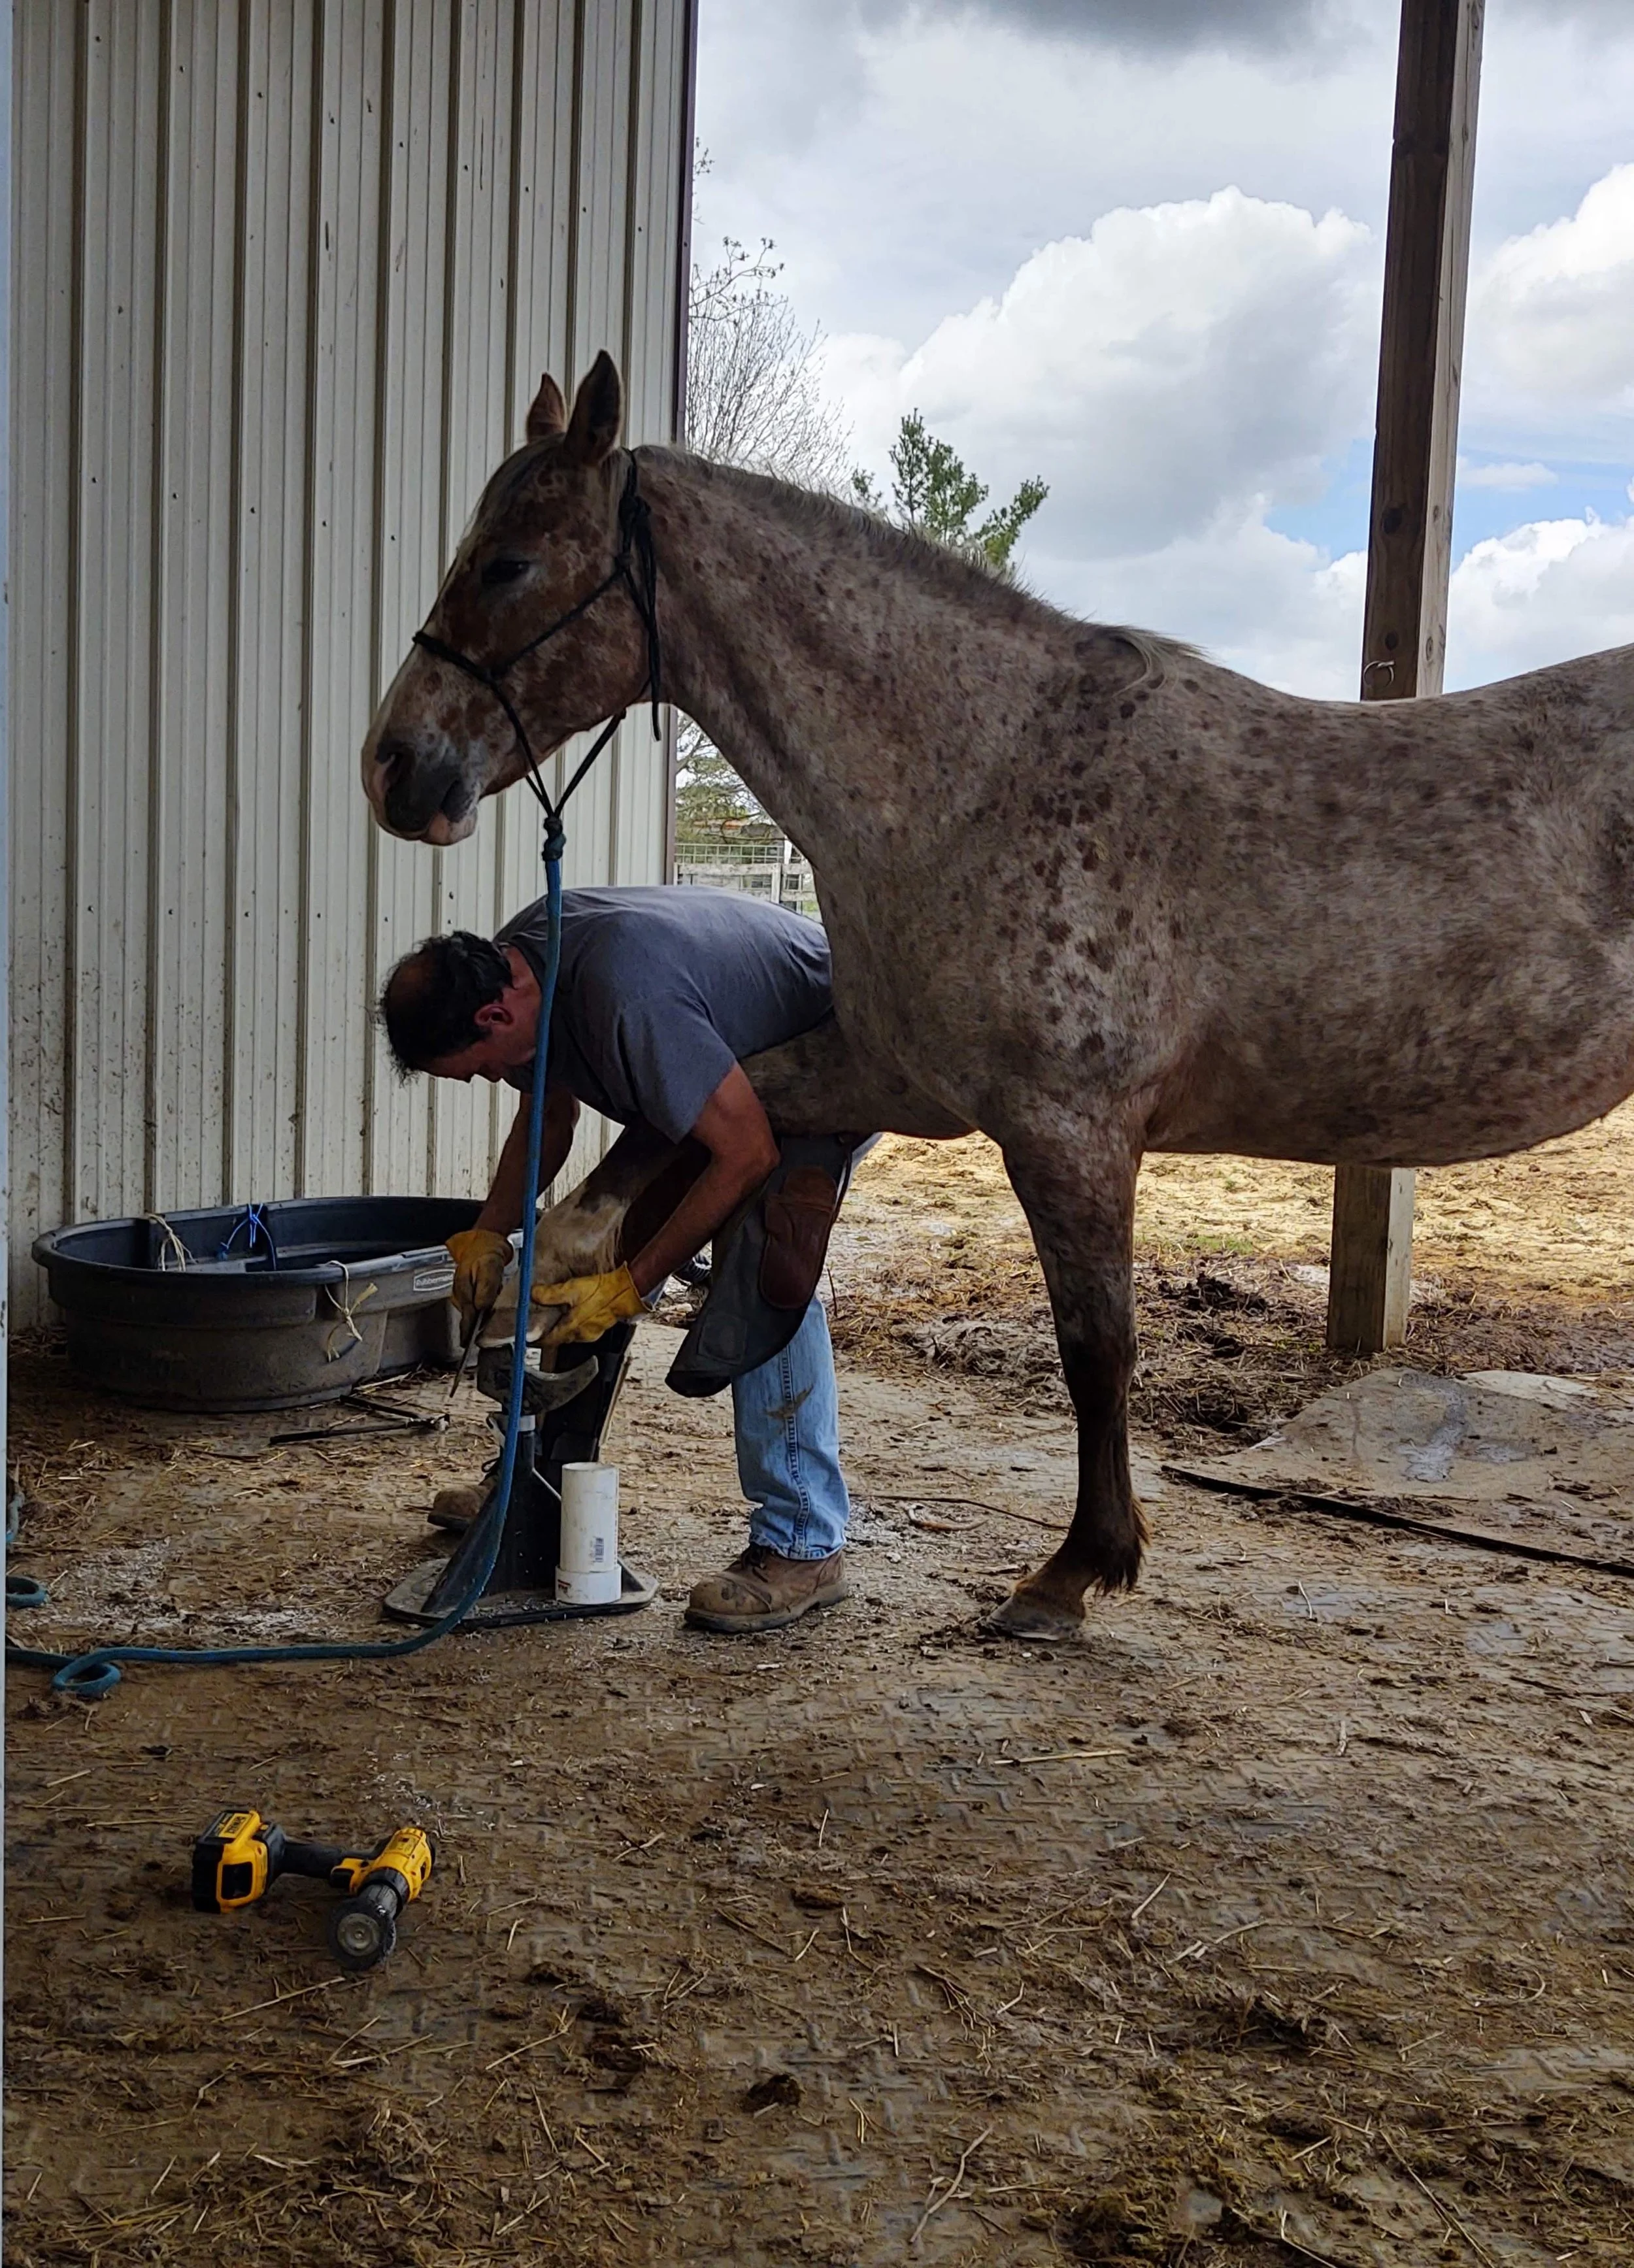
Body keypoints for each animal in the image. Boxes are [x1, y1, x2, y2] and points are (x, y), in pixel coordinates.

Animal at [361, 351, 1634, 1640]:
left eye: (510, 563)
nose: (392, 765)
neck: (977, 782)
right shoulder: (884, 1073)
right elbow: (650, 1168)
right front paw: (536, 1292)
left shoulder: (1068, 1131)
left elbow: (1096, 1347)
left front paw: (1077, 1569)